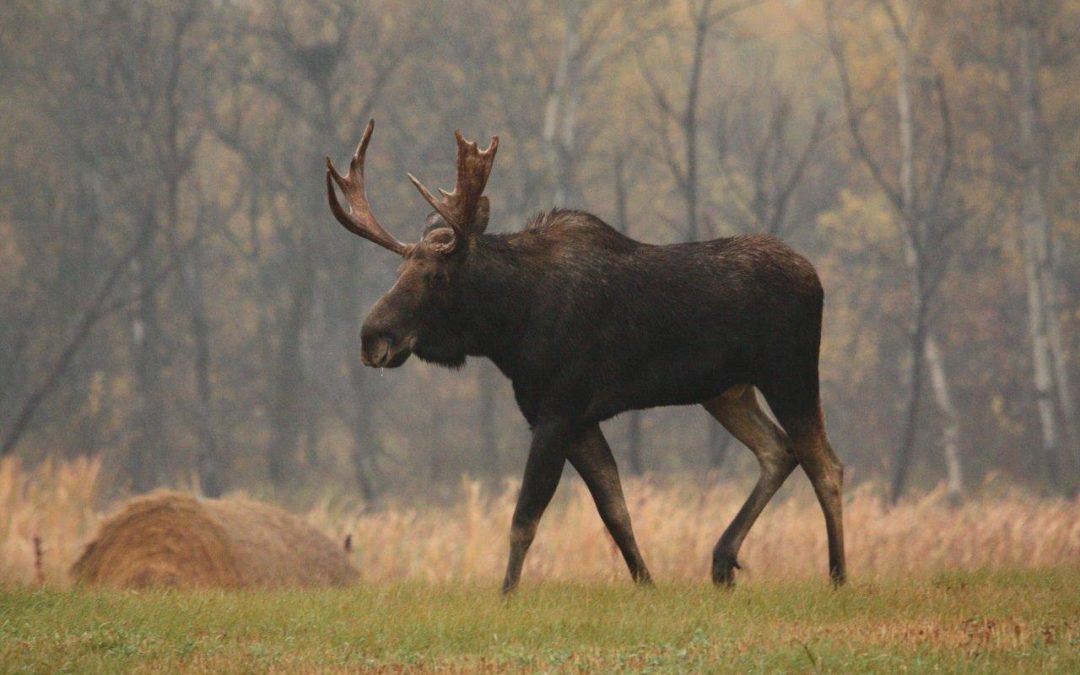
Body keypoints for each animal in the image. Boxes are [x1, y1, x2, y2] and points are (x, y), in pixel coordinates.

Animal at [324, 119, 846, 587]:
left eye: (434, 275)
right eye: (399, 270)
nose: (372, 337)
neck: (509, 328)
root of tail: (816, 278)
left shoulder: (558, 411)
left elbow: (524, 519)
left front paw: (507, 594)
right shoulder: (578, 418)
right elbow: (615, 511)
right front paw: (647, 585)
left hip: (791, 371)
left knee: (825, 464)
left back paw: (838, 575)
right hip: (727, 390)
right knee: (778, 451)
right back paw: (722, 561)